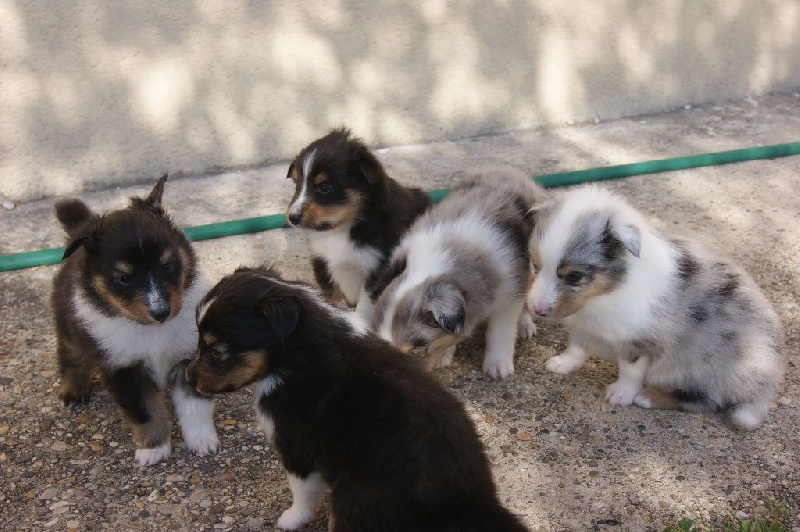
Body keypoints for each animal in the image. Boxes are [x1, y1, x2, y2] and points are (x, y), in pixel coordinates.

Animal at [50, 176, 219, 466]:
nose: (161, 311)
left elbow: (195, 407)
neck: (150, 329)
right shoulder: (124, 370)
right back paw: (72, 392)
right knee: (71, 356)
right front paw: (154, 449)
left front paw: (202, 441)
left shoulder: (190, 358)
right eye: (125, 278)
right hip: (68, 326)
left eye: (167, 265)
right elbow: (146, 412)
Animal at [184, 268, 528, 528]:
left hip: (353, 503)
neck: (297, 350)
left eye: (217, 351)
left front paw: (290, 519)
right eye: (199, 340)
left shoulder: (296, 448)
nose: (187, 377)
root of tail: (468, 504)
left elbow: (302, 494)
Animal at [286, 127, 432, 318]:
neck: (342, 229)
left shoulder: (377, 270)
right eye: (297, 185)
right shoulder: (322, 262)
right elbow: (330, 297)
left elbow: (364, 308)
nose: (292, 217)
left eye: (324, 188)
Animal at [368, 166, 544, 378]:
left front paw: (498, 366)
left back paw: (525, 325)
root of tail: (507, 170)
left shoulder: (510, 292)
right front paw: (444, 355)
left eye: (417, 348)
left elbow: (500, 332)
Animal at [528, 185, 784, 430]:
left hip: (691, 369)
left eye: (574, 277)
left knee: (705, 401)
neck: (605, 293)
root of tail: (767, 380)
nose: (536, 310)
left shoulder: (638, 343)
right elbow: (576, 347)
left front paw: (620, 394)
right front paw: (561, 364)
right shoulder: (584, 324)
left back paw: (648, 398)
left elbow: (629, 371)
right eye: (536, 266)